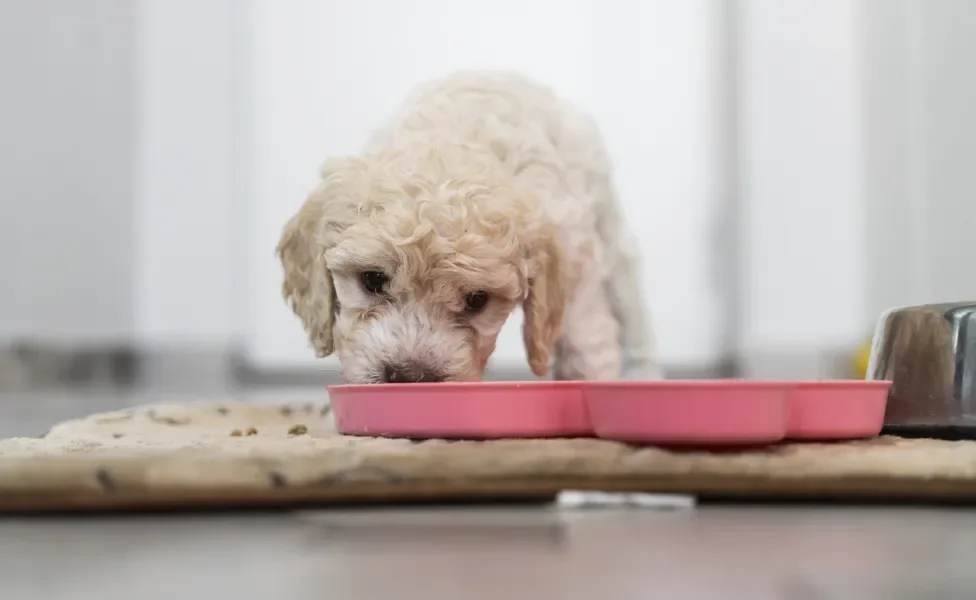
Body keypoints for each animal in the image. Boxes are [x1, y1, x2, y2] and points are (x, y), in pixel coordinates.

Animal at [274, 68, 660, 382]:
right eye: (372, 280)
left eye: (477, 300)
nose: (410, 376)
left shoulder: (576, 272)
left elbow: (585, 348)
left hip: (613, 239)